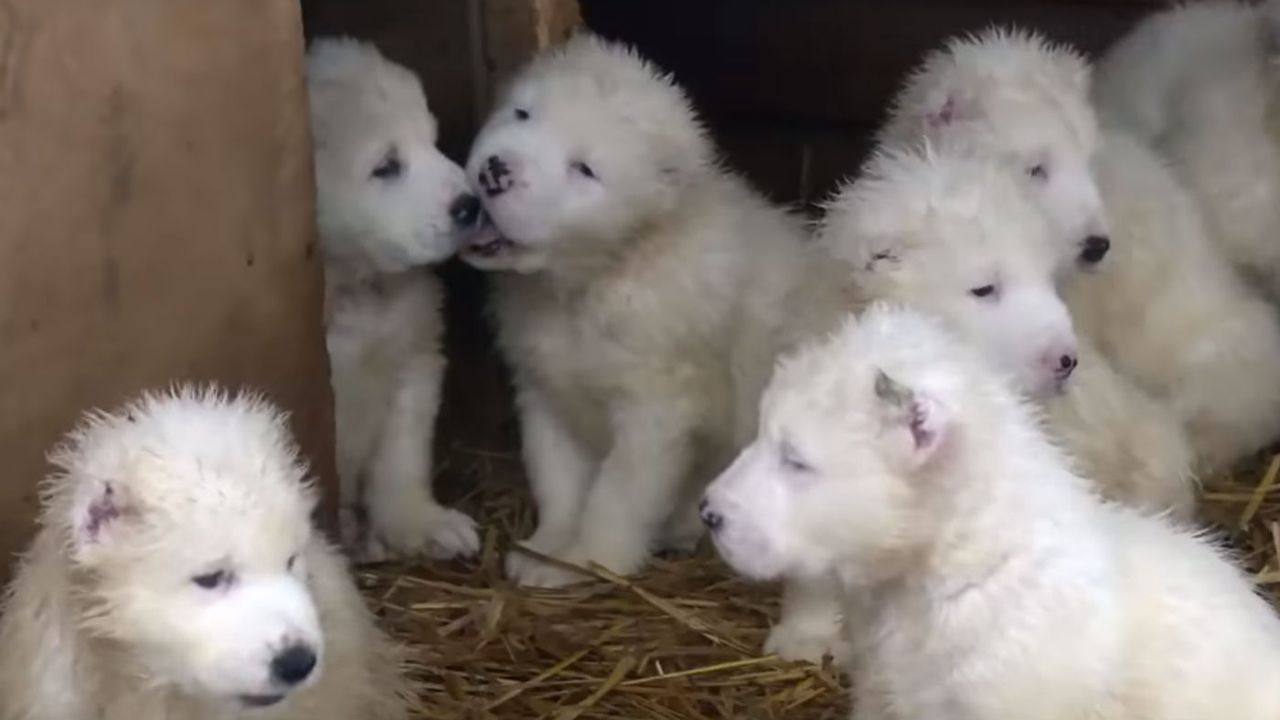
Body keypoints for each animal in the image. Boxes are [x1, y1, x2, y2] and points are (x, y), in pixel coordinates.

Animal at [308, 37, 481, 561]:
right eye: (385, 166)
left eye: (432, 140)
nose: (471, 205)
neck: (359, 286)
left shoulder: (415, 357)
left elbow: (401, 456)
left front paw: (423, 523)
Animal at [460, 32, 839, 584]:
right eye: (522, 113)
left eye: (584, 169)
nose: (496, 170)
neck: (593, 283)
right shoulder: (545, 389)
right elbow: (558, 478)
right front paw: (546, 549)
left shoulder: (655, 407)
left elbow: (618, 494)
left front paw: (585, 561)